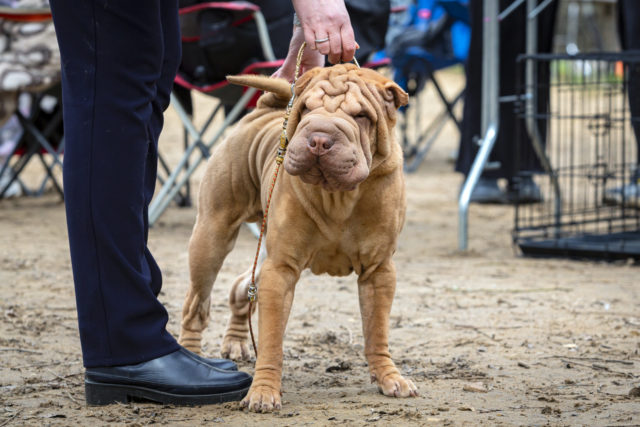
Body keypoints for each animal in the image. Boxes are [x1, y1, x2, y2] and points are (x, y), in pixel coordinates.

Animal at [180, 63, 418, 412]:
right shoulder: (281, 270)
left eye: (362, 116)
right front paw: (263, 391)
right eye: (306, 109)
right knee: (196, 303)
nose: (319, 138)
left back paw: (235, 343)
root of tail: (262, 112)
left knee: (242, 287)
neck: (339, 196)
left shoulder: (379, 271)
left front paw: (390, 378)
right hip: (211, 236)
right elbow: (271, 339)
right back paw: (192, 357)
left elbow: (377, 331)